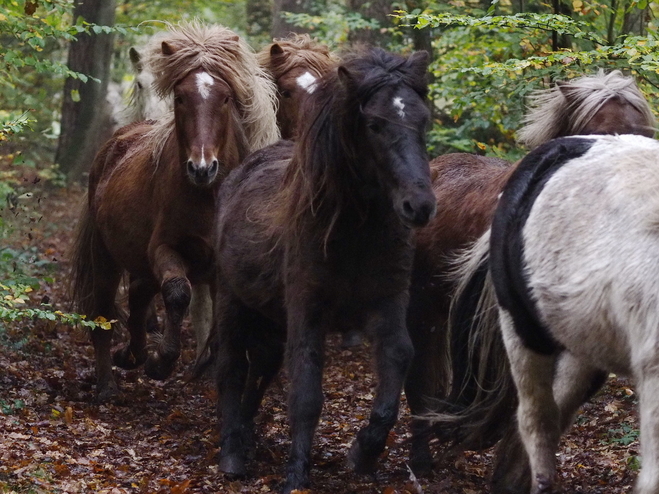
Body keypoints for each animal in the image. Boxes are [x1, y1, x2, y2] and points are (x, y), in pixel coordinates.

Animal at [68, 21, 280, 404]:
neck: (208, 196)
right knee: (105, 315)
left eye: (225, 98)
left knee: (139, 296)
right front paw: (160, 362)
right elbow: (179, 293)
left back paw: (132, 354)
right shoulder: (164, 249)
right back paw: (108, 383)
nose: (202, 168)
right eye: (181, 97)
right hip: (106, 259)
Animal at [213, 47, 438, 494]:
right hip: (232, 302)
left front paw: (363, 452)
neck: (352, 234)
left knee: (261, 367)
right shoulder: (308, 312)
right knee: (233, 366)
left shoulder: (387, 306)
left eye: (422, 120)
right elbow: (305, 391)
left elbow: (396, 367)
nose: (419, 205)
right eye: (373, 124)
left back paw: (246, 434)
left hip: (269, 316)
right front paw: (297, 474)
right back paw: (232, 452)